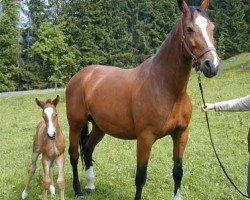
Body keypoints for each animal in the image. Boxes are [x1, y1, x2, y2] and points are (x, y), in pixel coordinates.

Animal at [65, 0, 220, 199]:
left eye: (212, 28)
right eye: (190, 29)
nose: (212, 65)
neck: (167, 88)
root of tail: (81, 76)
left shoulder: (181, 134)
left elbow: (178, 172)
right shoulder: (145, 138)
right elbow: (141, 176)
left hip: (100, 126)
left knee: (87, 148)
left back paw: (90, 185)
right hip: (76, 124)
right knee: (74, 154)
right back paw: (78, 190)